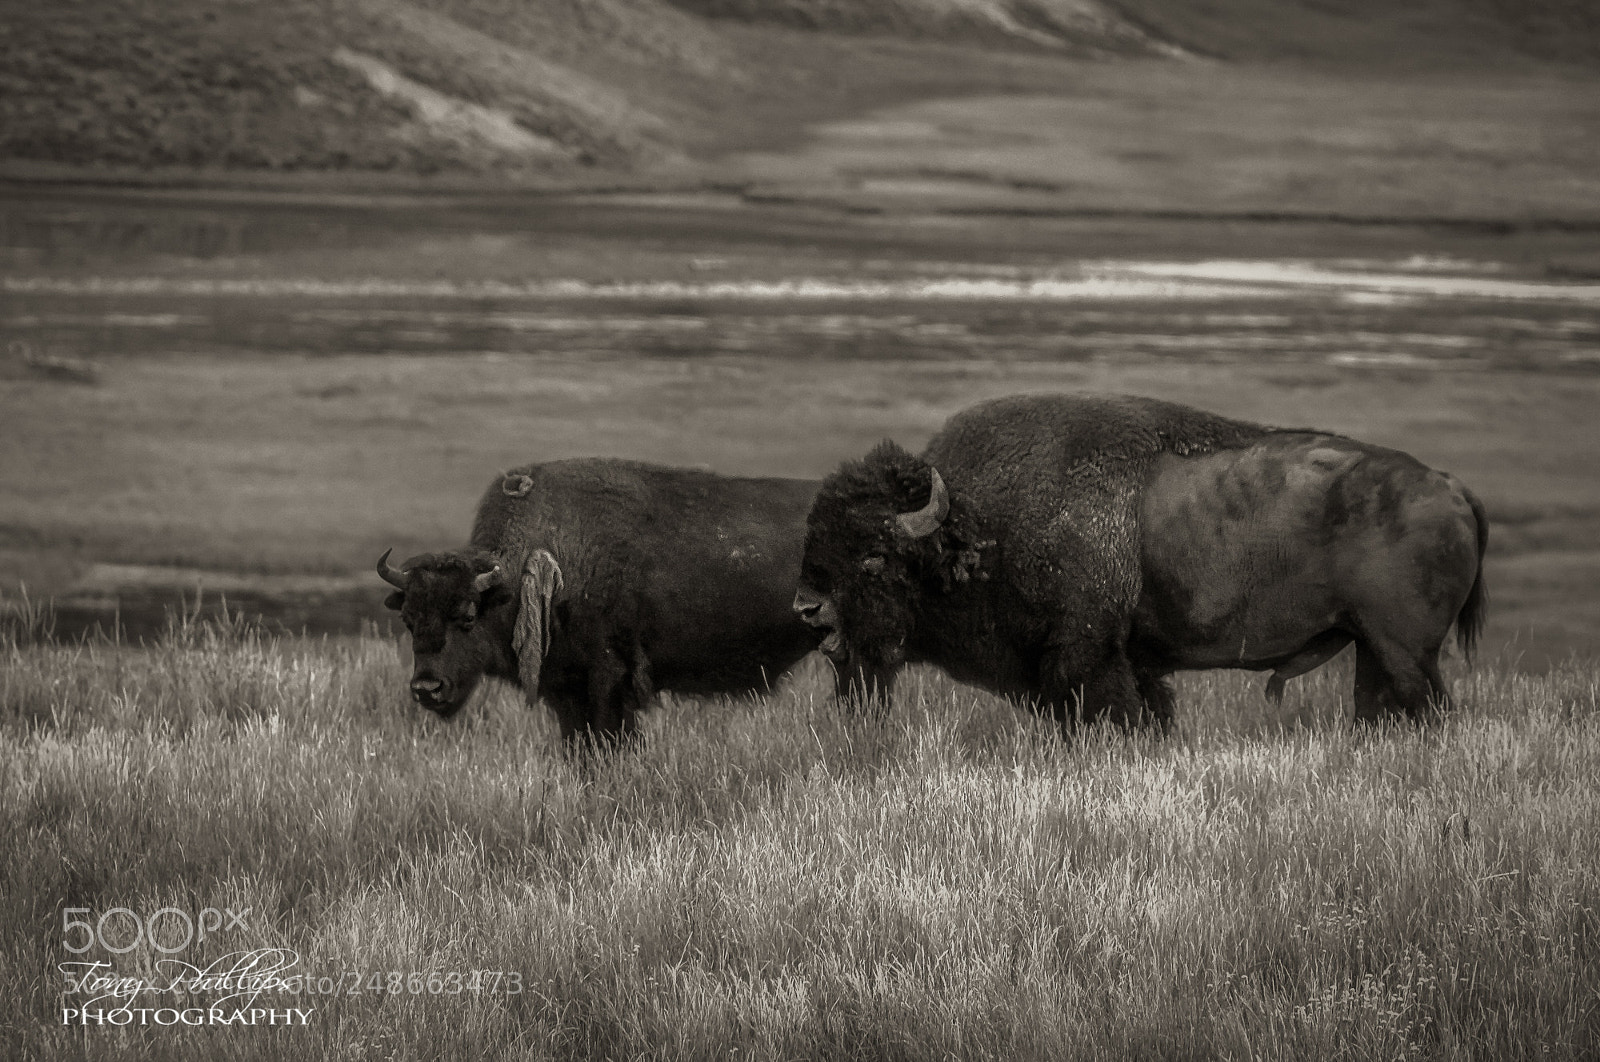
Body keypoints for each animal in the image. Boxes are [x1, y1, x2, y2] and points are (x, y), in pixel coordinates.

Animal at [794, 393, 1488, 727]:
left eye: (873, 557)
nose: (807, 607)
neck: (979, 526)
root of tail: (1451, 486)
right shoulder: (1128, 666)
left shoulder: (1087, 659)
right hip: (1372, 649)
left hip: (1405, 651)